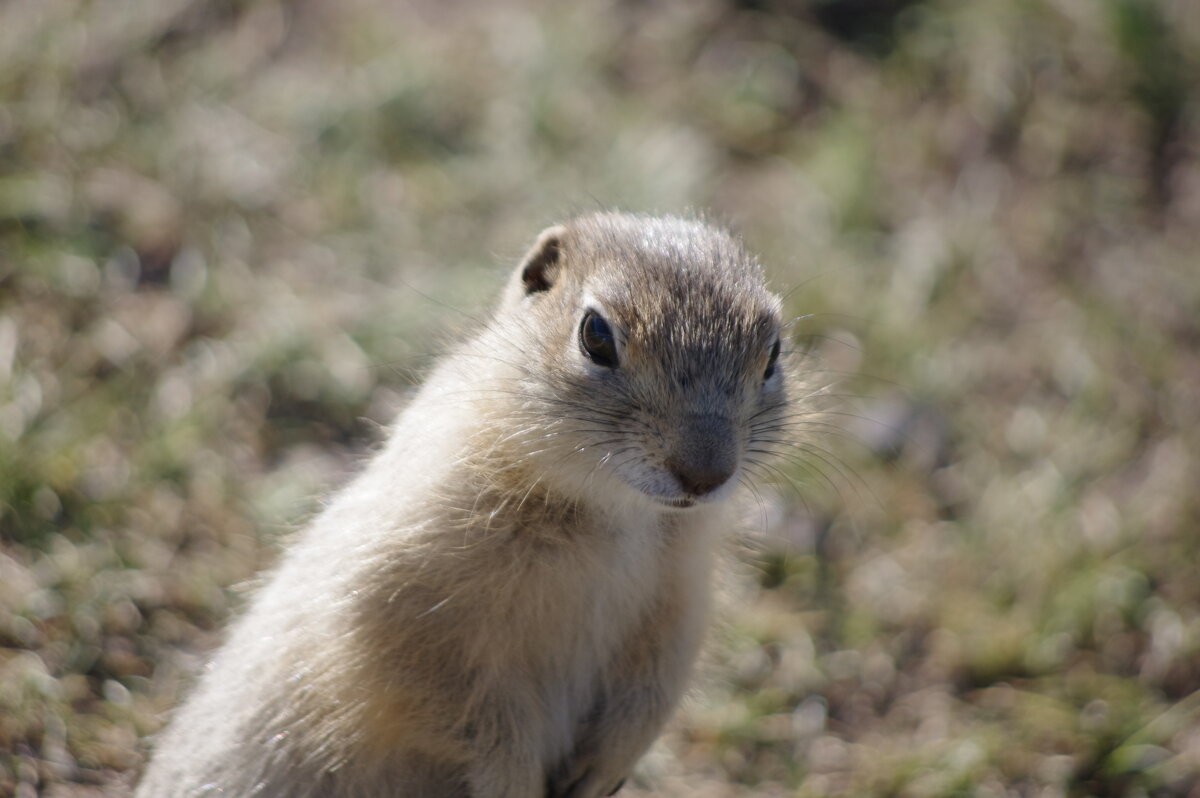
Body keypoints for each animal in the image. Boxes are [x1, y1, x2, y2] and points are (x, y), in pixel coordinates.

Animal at [136, 213, 801, 796]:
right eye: (595, 335)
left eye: (773, 352)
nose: (706, 474)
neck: (614, 514)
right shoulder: (402, 601)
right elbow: (455, 704)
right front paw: (514, 782)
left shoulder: (679, 598)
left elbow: (656, 684)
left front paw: (601, 772)